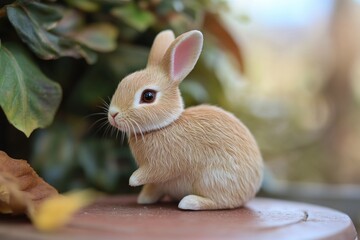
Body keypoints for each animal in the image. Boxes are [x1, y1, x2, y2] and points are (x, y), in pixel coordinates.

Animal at [107, 29, 262, 210]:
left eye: (148, 96)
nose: (113, 115)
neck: (164, 125)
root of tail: (252, 188)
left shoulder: (165, 163)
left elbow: (155, 172)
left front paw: (132, 180)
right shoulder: (159, 181)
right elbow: (154, 186)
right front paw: (144, 198)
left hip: (212, 179)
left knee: (222, 202)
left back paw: (190, 202)